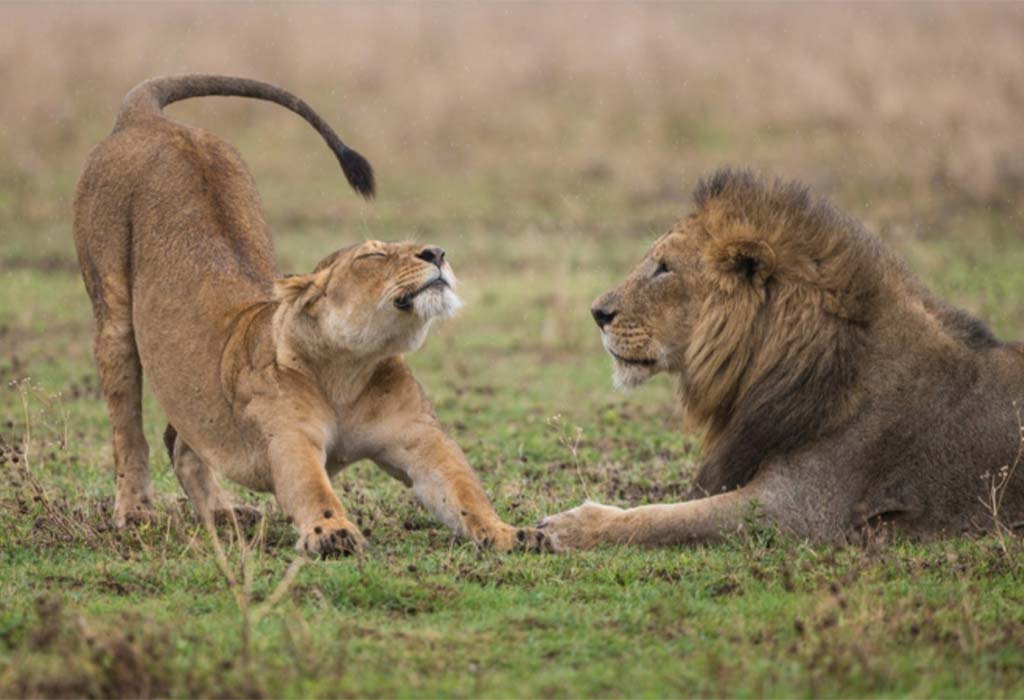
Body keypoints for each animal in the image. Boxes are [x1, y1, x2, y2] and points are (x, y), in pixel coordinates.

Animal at [73, 75, 548, 556]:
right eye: (374, 255)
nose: (437, 252)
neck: (348, 371)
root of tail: (148, 119)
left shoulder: (420, 439)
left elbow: (463, 490)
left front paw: (510, 532)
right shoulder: (289, 439)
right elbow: (311, 488)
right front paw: (332, 531)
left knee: (181, 440)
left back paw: (224, 513)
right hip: (112, 314)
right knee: (128, 430)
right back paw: (136, 514)